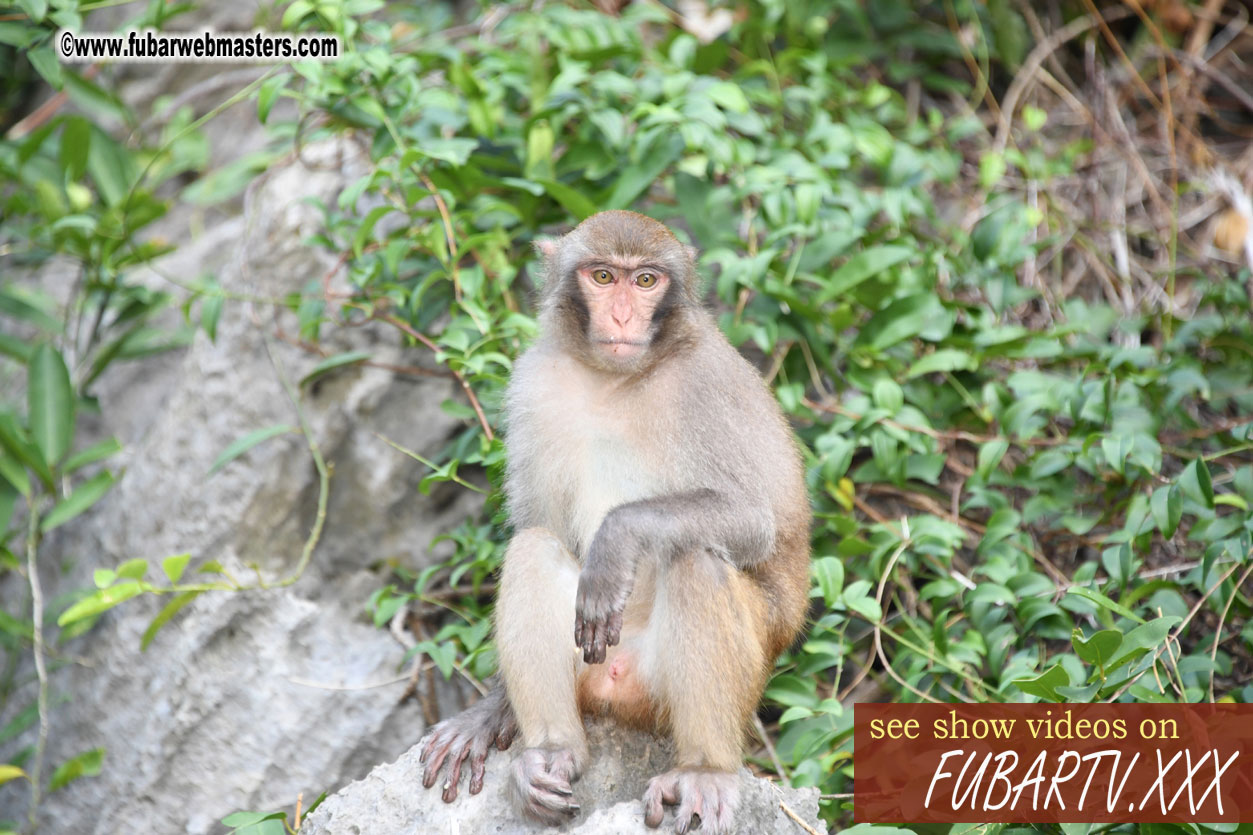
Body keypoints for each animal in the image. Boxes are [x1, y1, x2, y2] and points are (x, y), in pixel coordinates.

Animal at [421, 209, 811, 832]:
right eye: (603, 277)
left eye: (646, 281)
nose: (624, 315)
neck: (615, 379)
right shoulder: (535, 382)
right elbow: (540, 521)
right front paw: (492, 710)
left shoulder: (707, 385)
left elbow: (752, 520)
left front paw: (615, 543)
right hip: (586, 665)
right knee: (534, 546)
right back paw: (551, 754)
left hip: (709, 683)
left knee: (695, 558)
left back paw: (705, 770)